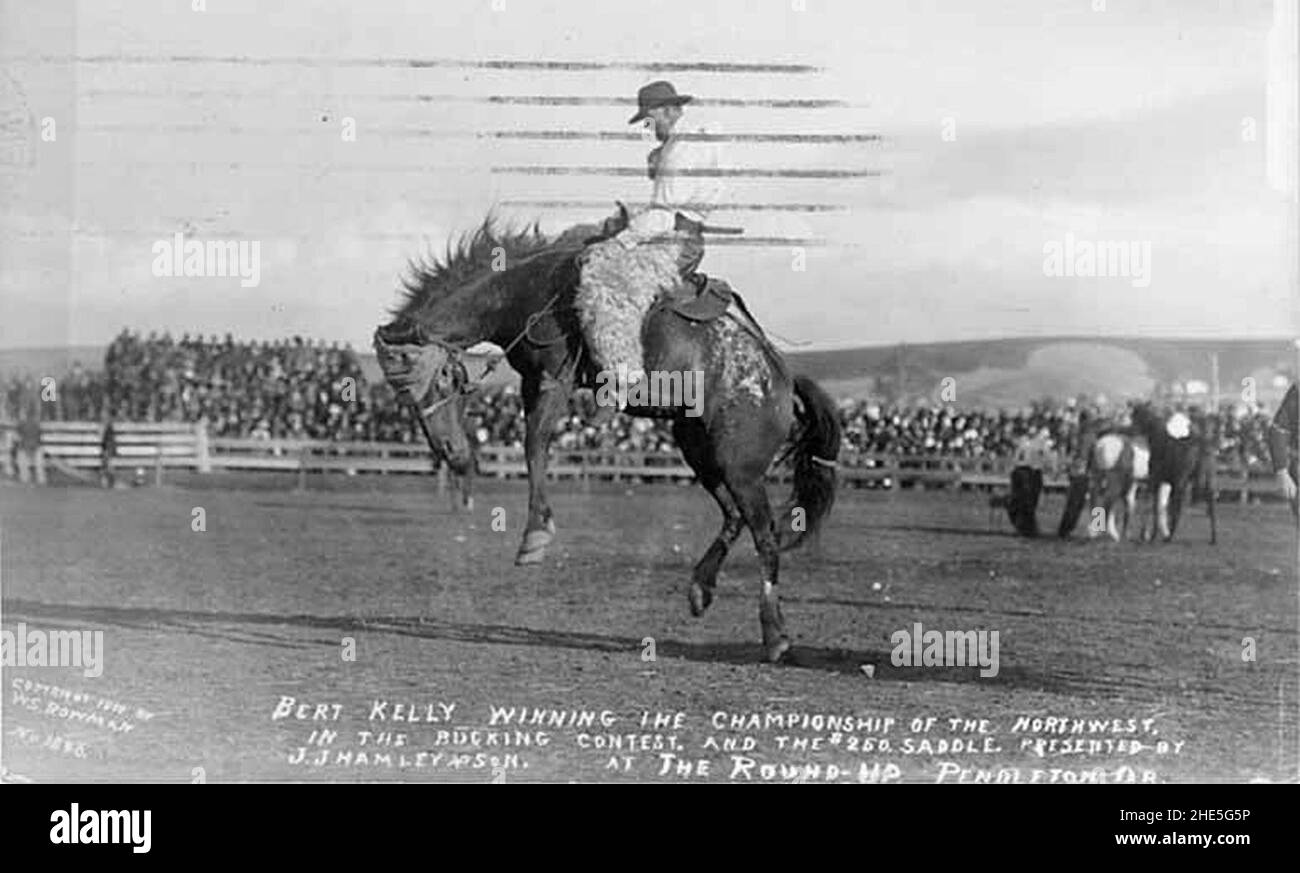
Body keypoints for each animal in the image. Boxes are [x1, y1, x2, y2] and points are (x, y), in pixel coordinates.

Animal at [377, 216, 842, 662]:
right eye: (405, 396)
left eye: (443, 378)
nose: (451, 453)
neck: (523, 290)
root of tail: (780, 378)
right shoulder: (533, 381)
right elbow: (535, 446)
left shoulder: (555, 376)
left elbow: (534, 445)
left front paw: (535, 536)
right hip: (698, 449)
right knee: (733, 517)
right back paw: (701, 588)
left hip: (740, 467)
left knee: (765, 535)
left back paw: (775, 634)